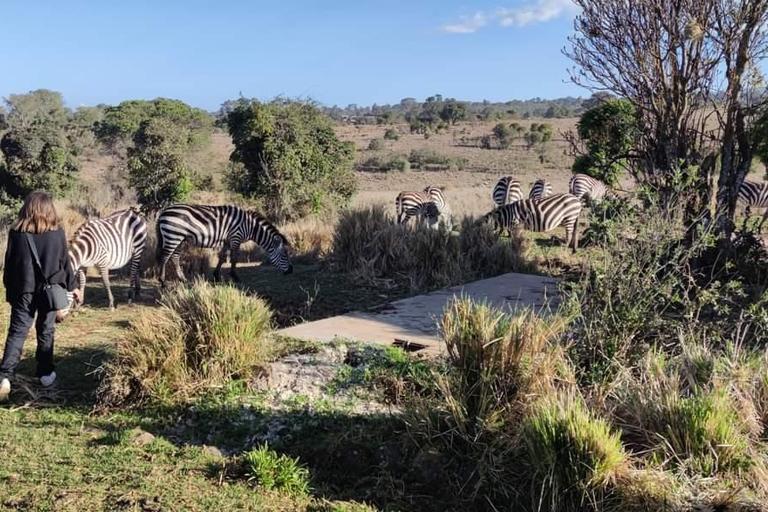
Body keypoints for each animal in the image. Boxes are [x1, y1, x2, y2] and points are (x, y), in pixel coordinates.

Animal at [155, 204, 292, 286]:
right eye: (284, 255)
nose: (291, 271)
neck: (250, 226)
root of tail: (163, 212)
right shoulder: (236, 237)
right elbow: (234, 258)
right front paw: (235, 277)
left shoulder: (227, 240)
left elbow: (222, 258)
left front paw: (216, 276)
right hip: (173, 236)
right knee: (165, 257)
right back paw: (162, 281)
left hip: (179, 239)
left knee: (174, 257)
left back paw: (182, 279)